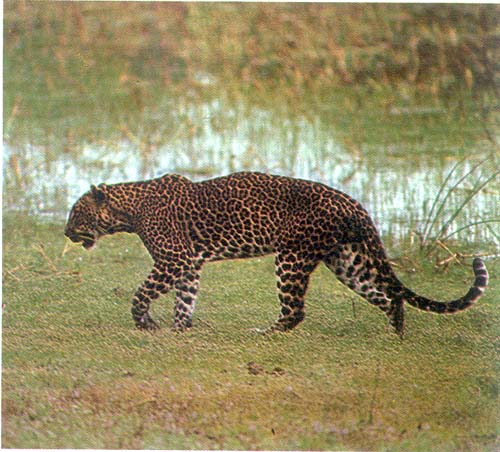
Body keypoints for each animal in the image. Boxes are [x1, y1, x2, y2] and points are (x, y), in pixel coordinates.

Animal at [64, 171, 488, 337]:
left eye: (76, 213)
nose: (65, 232)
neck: (129, 209)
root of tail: (350, 201)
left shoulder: (174, 259)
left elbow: (142, 294)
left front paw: (146, 323)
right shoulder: (189, 263)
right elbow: (185, 298)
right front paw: (179, 328)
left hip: (292, 257)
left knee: (295, 311)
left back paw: (262, 333)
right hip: (346, 259)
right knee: (387, 296)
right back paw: (395, 335)